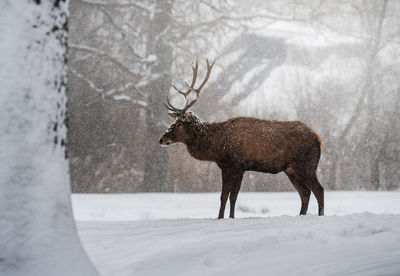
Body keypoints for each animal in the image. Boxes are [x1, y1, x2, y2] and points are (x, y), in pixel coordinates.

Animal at [158, 59, 324, 219]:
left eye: (179, 123)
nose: (161, 139)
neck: (218, 148)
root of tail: (318, 139)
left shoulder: (237, 165)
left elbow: (231, 197)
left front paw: (227, 217)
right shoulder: (227, 167)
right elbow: (226, 196)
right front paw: (223, 217)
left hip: (306, 165)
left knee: (319, 190)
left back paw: (320, 215)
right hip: (291, 170)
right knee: (305, 193)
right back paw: (301, 215)